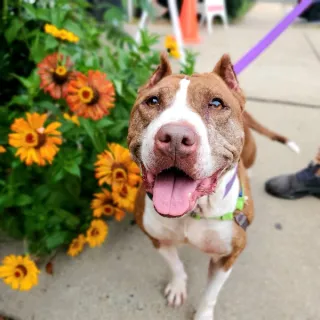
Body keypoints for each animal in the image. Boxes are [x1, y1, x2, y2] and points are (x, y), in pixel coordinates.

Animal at [127, 52, 298, 318]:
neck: (194, 211)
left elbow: (211, 293)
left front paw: (203, 314)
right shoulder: (158, 239)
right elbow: (176, 265)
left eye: (216, 104)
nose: (175, 138)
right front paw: (178, 287)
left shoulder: (227, 256)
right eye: (152, 101)